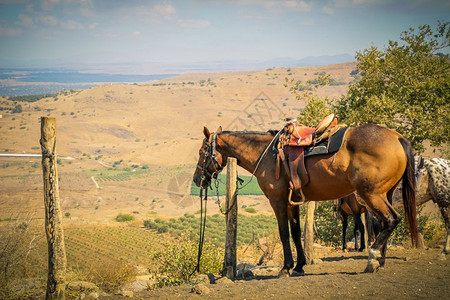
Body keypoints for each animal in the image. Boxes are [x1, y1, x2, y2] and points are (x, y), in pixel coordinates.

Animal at [193, 123, 418, 274]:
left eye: (202, 152)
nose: (197, 179)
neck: (266, 155)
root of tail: (398, 138)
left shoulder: (278, 201)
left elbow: (284, 233)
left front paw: (285, 268)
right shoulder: (292, 201)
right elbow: (295, 232)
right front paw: (299, 265)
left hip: (371, 195)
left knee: (392, 219)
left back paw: (372, 259)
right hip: (384, 194)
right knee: (385, 224)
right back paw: (380, 261)